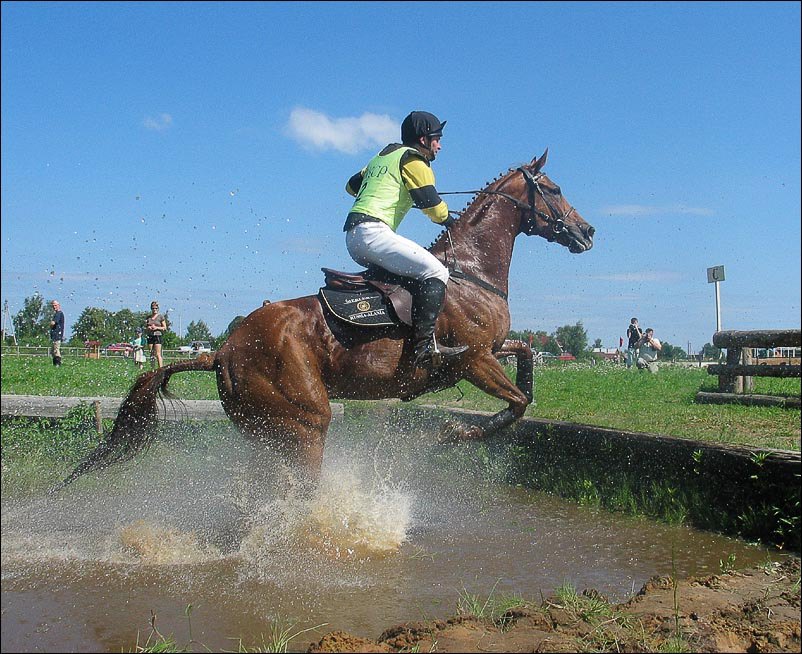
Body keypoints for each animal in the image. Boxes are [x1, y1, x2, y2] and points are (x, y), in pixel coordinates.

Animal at [56, 151, 592, 492]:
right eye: (554, 189)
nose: (587, 231)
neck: (469, 273)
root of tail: (223, 350)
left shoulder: (491, 352)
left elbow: (526, 359)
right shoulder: (474, 360)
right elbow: (516, 404)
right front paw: (450, 436)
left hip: (265, 430)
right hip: (305, 422)